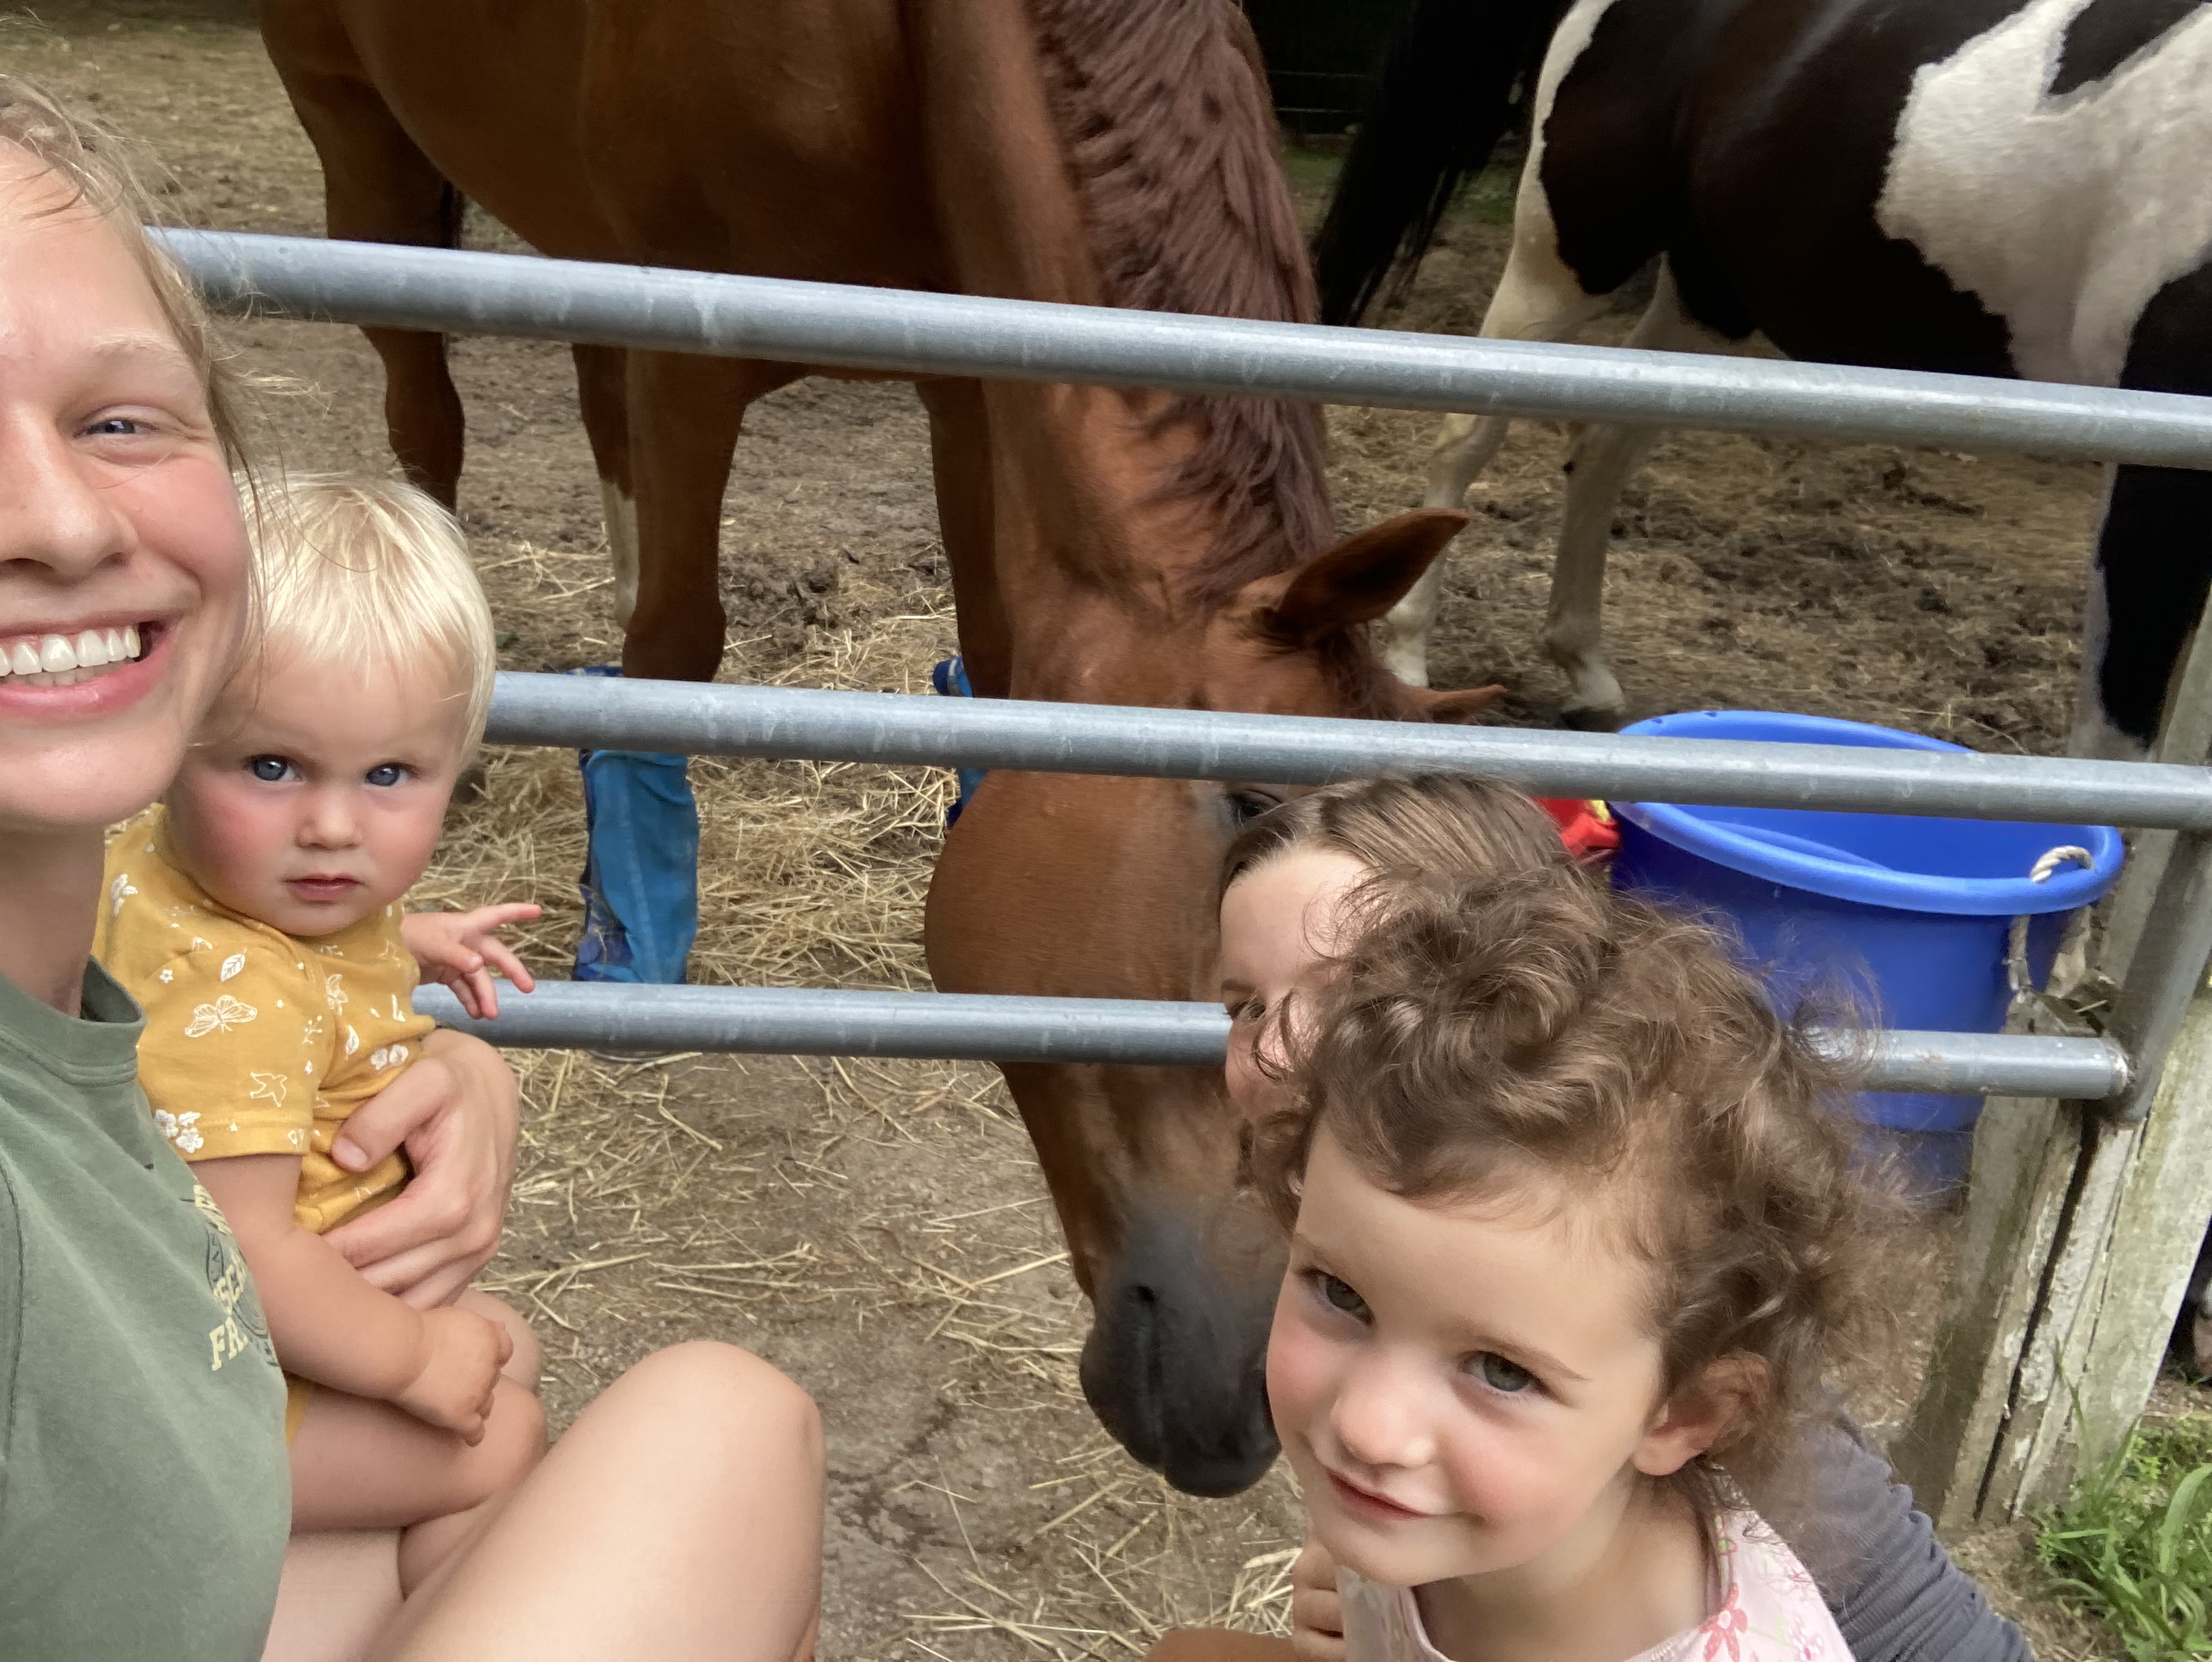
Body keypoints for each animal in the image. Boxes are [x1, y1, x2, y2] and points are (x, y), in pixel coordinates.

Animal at [257, 0, 1500, 1496]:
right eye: (1248, 805)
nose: (1240, 1408)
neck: (894, 46)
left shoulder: (966, 375)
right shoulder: (694, 347)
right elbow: (676, 644)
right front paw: (626, 928)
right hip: (358, 140)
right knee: (422, 410)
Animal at [1311, 0, 2212, 758]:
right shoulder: (2159, 473)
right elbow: (2115, 741)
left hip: (1707, 289)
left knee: (1603, 439)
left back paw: (1585, 669)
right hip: (1570, 253)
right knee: (1470, 431)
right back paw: (1410, 656)